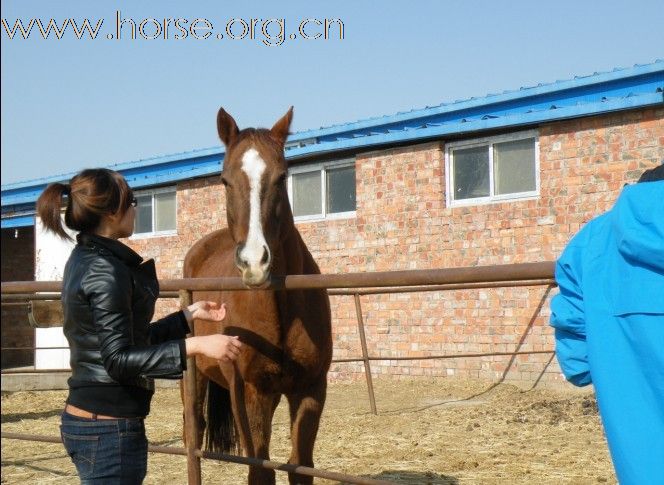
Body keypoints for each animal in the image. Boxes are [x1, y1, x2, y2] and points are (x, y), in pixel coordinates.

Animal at [182, 108, 332, 482]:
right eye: (224, 180)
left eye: (282, 177)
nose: (253, 262)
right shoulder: (252, 392)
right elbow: (259, 470)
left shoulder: (310, 390)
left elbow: (300, 466)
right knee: (193, 432)